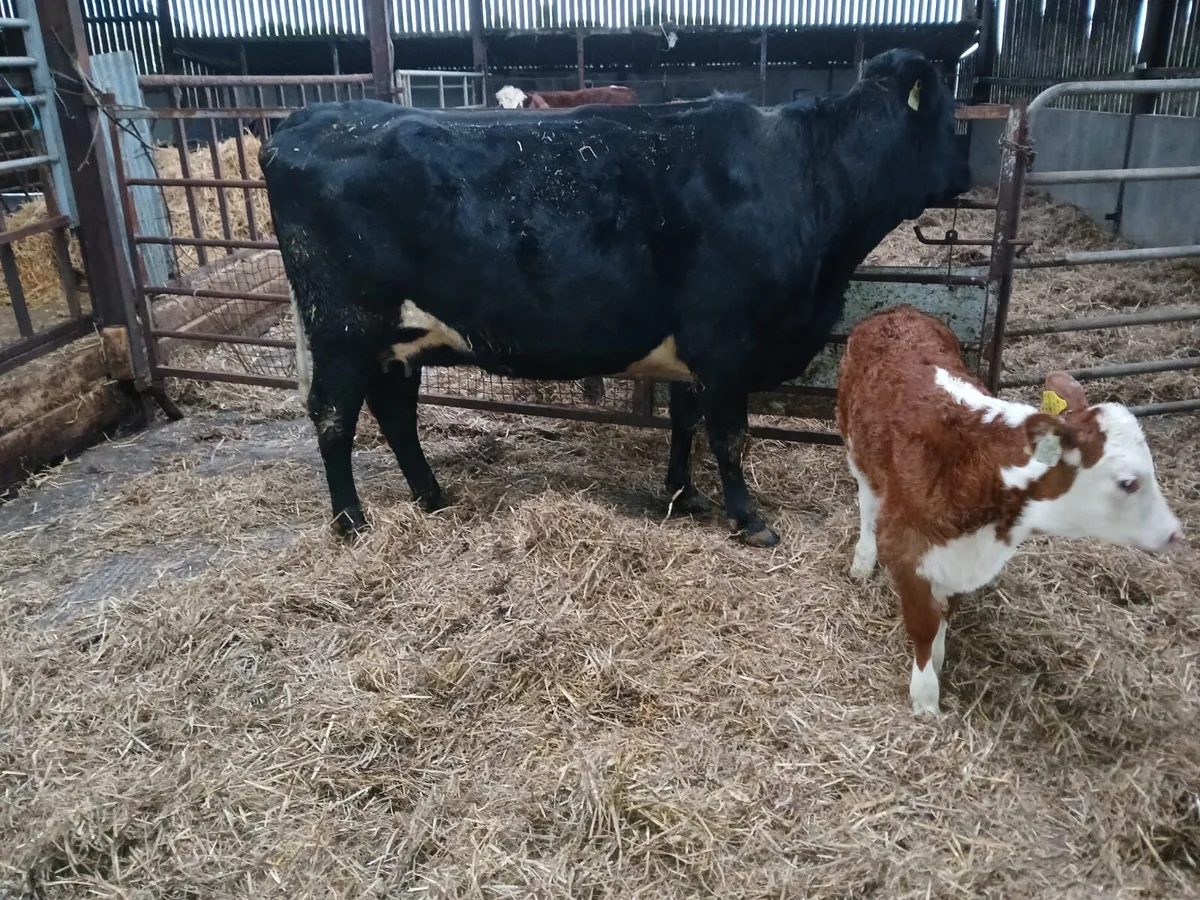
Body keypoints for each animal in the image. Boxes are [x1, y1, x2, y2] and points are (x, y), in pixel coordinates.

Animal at [260, 48, 970, 546]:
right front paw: (748, 519)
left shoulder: (695, 348)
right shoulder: (729, 342)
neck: (808, 173)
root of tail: (306, 119)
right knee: (333, 415)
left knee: (395, 412)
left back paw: (431, 496)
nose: (969, 172)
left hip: (399, 337)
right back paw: (352, 522)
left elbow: (686, 419)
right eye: (950, 115)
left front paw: (684, 496)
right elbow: (731, 435)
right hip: (342, 327)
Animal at [836, 304, 1184, 717]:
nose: (1175, 532)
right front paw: (925, 699)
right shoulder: (905, 549)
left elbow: (944, 613)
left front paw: (938, 660)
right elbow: (923, 623)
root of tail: (899, 310)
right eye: (1128, 483)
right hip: (854, 444)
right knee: (866, 500)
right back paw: (863, 559)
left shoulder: (961, 560)